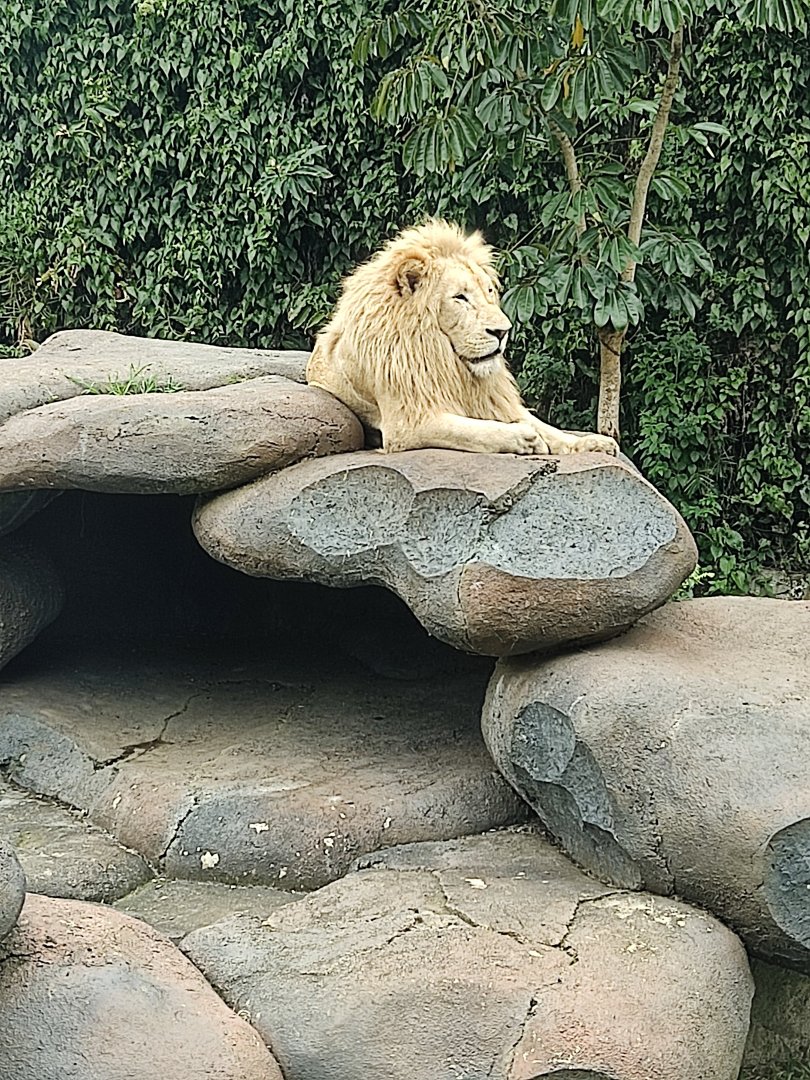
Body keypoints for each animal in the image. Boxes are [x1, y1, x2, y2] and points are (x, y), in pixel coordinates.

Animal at [306, 220, 618, 457]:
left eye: (489, 291)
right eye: (460, 297)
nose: (502, 332)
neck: (450, 362)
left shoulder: (492, 399)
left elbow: (548, 428)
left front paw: (591, 443)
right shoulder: (408, 423)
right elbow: (471, 431)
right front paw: (524, 439)